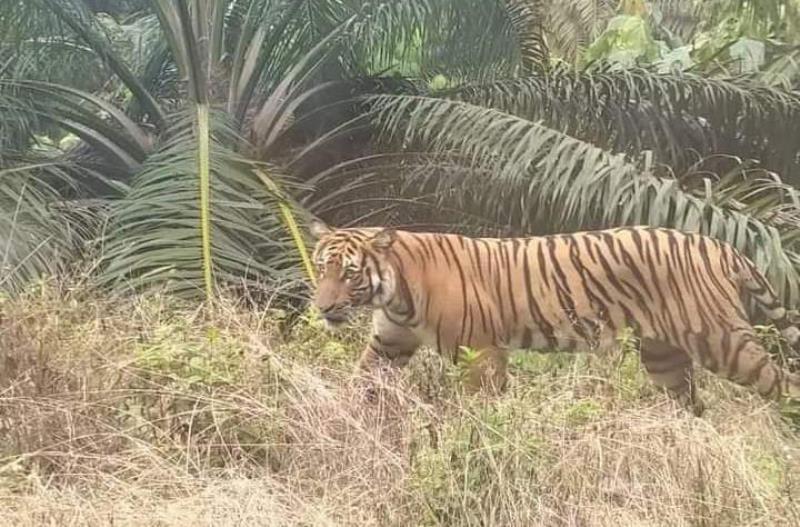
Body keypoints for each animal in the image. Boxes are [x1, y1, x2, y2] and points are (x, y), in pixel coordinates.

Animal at [310, 221, 800, 414]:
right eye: (321, 267)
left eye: (349, 273)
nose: (323, 307)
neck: (394, 294)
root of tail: (720, 244)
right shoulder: (389, 344)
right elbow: (361, 381)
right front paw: (339, 419)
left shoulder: (482, 351)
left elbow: (479, 405)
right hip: (665, 357)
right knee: (692, 404)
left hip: (725, 343)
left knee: (784, 383)